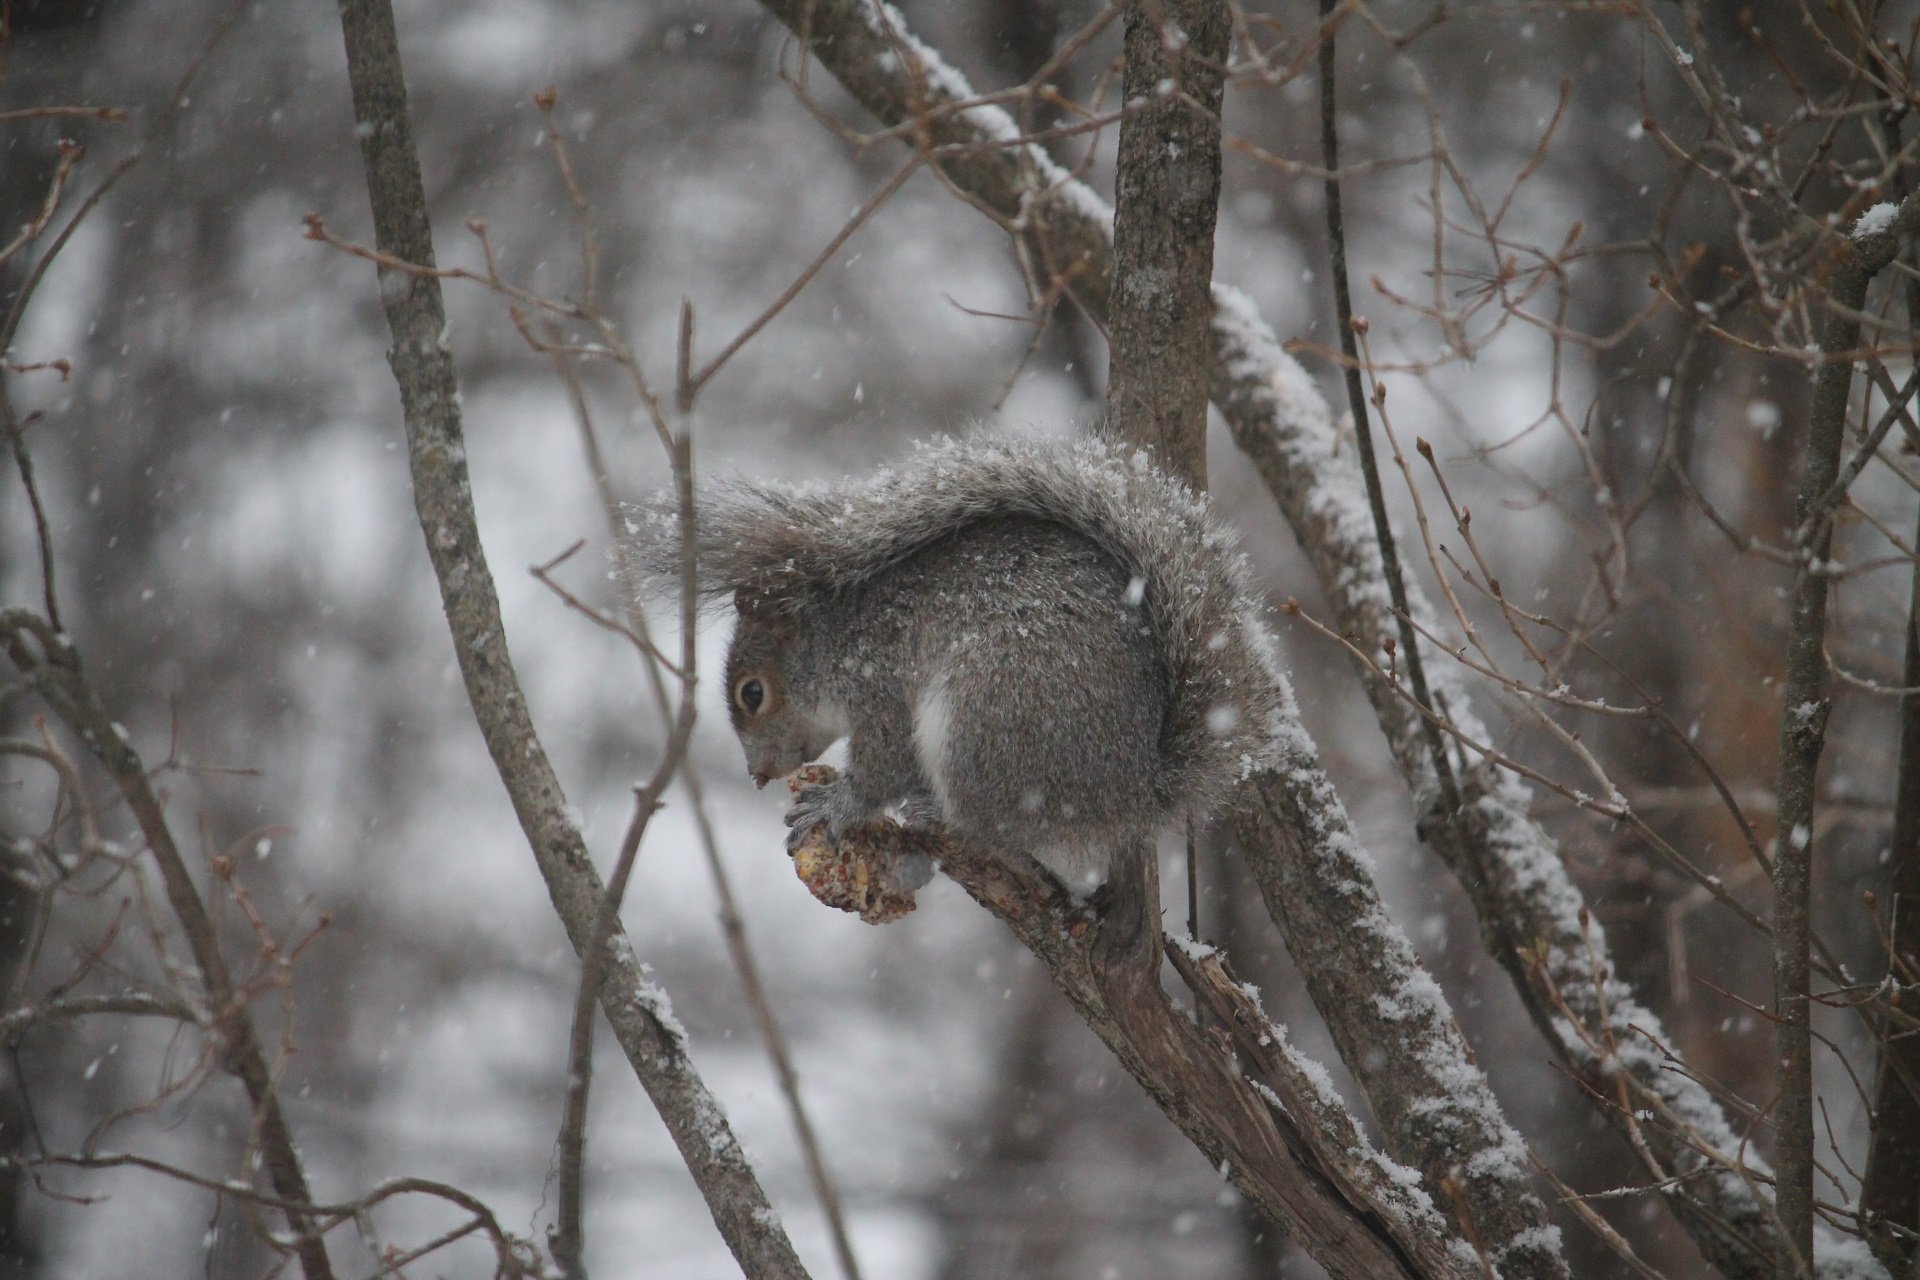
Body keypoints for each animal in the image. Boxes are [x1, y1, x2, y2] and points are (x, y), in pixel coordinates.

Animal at [633, 437, 1290, 890]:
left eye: (753, 694)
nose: (758, 775)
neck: (837, 641)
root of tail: (1136, 787)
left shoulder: (883, 686)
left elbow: (882, 767)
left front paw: (835, 804)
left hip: (985, 715)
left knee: (992, 827)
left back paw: (938, 813)